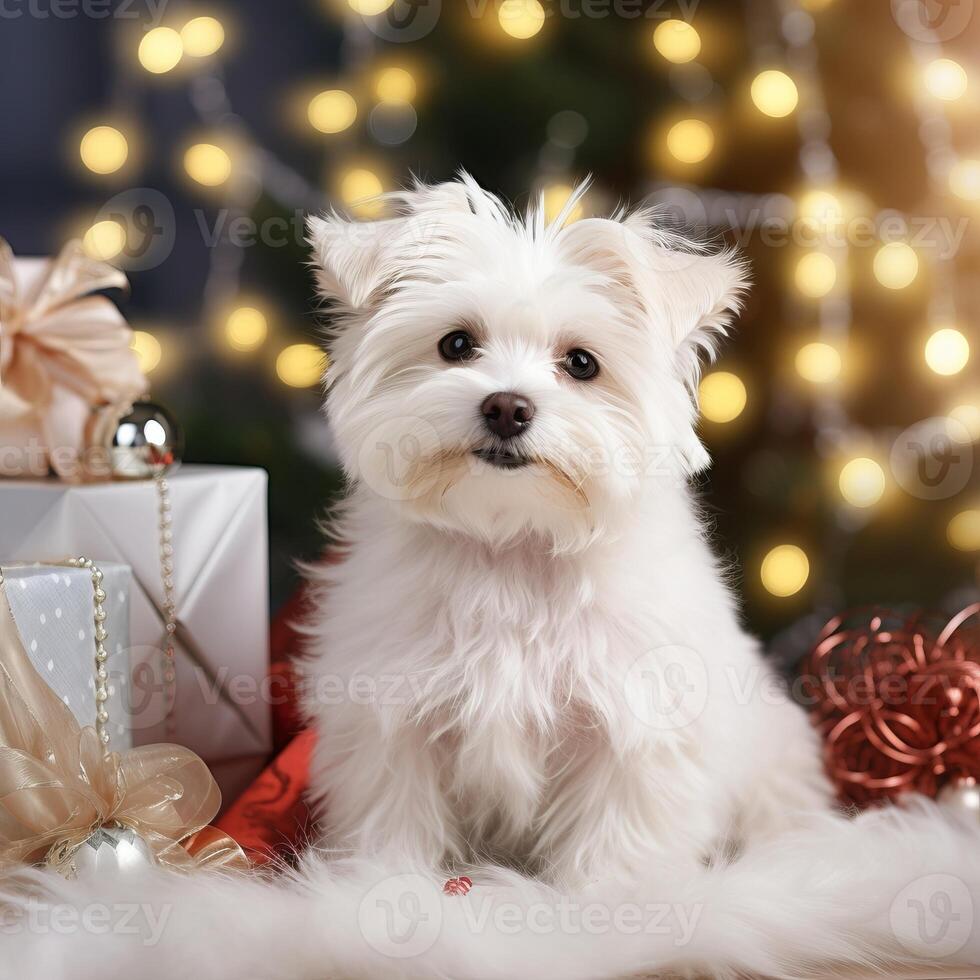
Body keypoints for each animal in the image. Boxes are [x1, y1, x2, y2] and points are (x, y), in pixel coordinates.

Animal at [304, 178, 836, 888]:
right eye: (455, 345)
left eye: (582, 363)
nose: (506, 407)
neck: (514, 544)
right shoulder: (391, 717)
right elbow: (394, 810)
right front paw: (381, 881)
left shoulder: (635, 724)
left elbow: (619, 829)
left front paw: (605, 897)